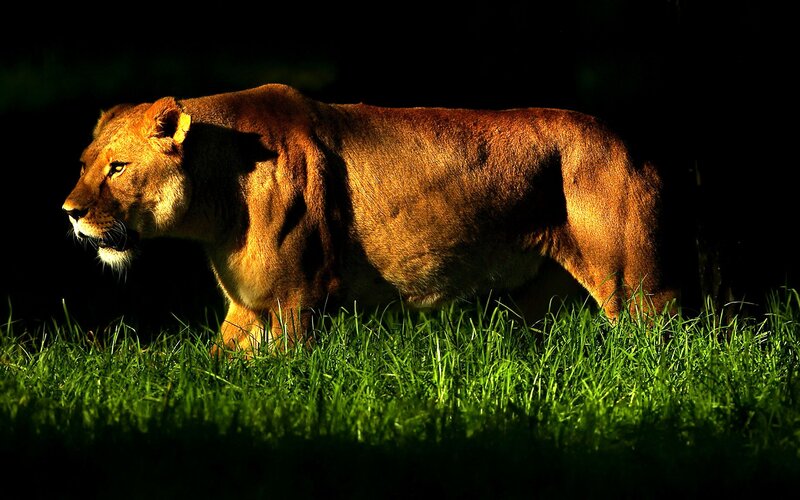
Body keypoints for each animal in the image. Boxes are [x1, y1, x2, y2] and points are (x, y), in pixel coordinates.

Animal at [63, 83, 678, 354]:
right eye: (84, 164)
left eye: (118, 168)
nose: (69, 214)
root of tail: (632, 144)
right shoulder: (248, 302)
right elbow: (215, 366)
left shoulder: (296, 298)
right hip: (538, 300)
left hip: (637, 287)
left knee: (665, 342)